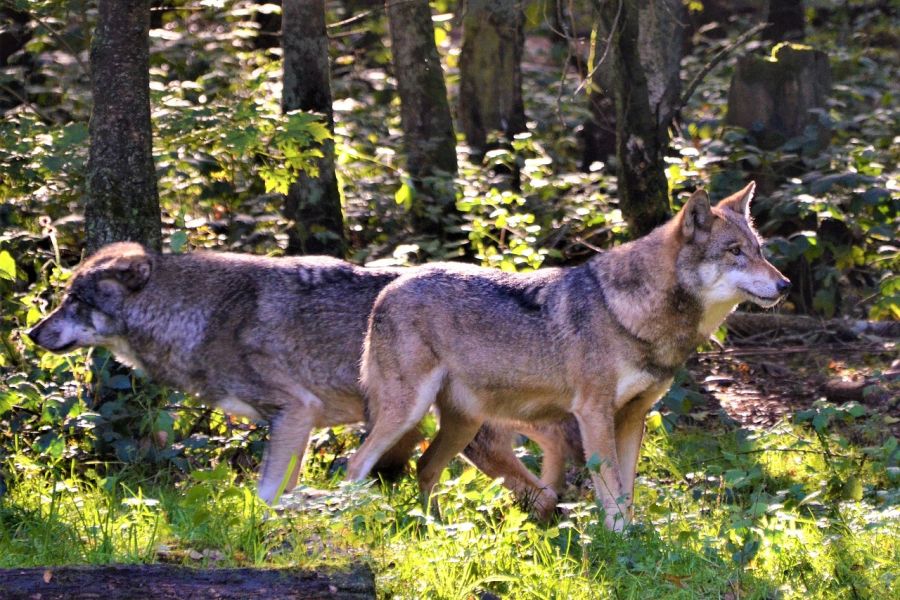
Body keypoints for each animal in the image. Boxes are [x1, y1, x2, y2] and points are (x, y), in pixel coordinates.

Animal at [29, 241, 576, 512]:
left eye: (75, 301)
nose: (33, 333)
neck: (202, 314)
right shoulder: (299, 426)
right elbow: (285, 492)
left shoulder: (295, 413)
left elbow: (266, 496)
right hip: (473, 433)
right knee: (542, 466)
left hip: (472, 434)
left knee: (549, 455)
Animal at [344, 183, 788, 528]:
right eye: (734, 252)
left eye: (759, 250)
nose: (785, 284)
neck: (632, 315)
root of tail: (389, 287)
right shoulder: (593, 414)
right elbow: (611, 490)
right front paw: (620, 542)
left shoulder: (633, 418)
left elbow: (627, 491)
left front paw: (634, 539)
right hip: (409, 413)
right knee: (356, 464)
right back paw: (354, 522)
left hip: (462, 425)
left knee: (424, 467)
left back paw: (432, 527)